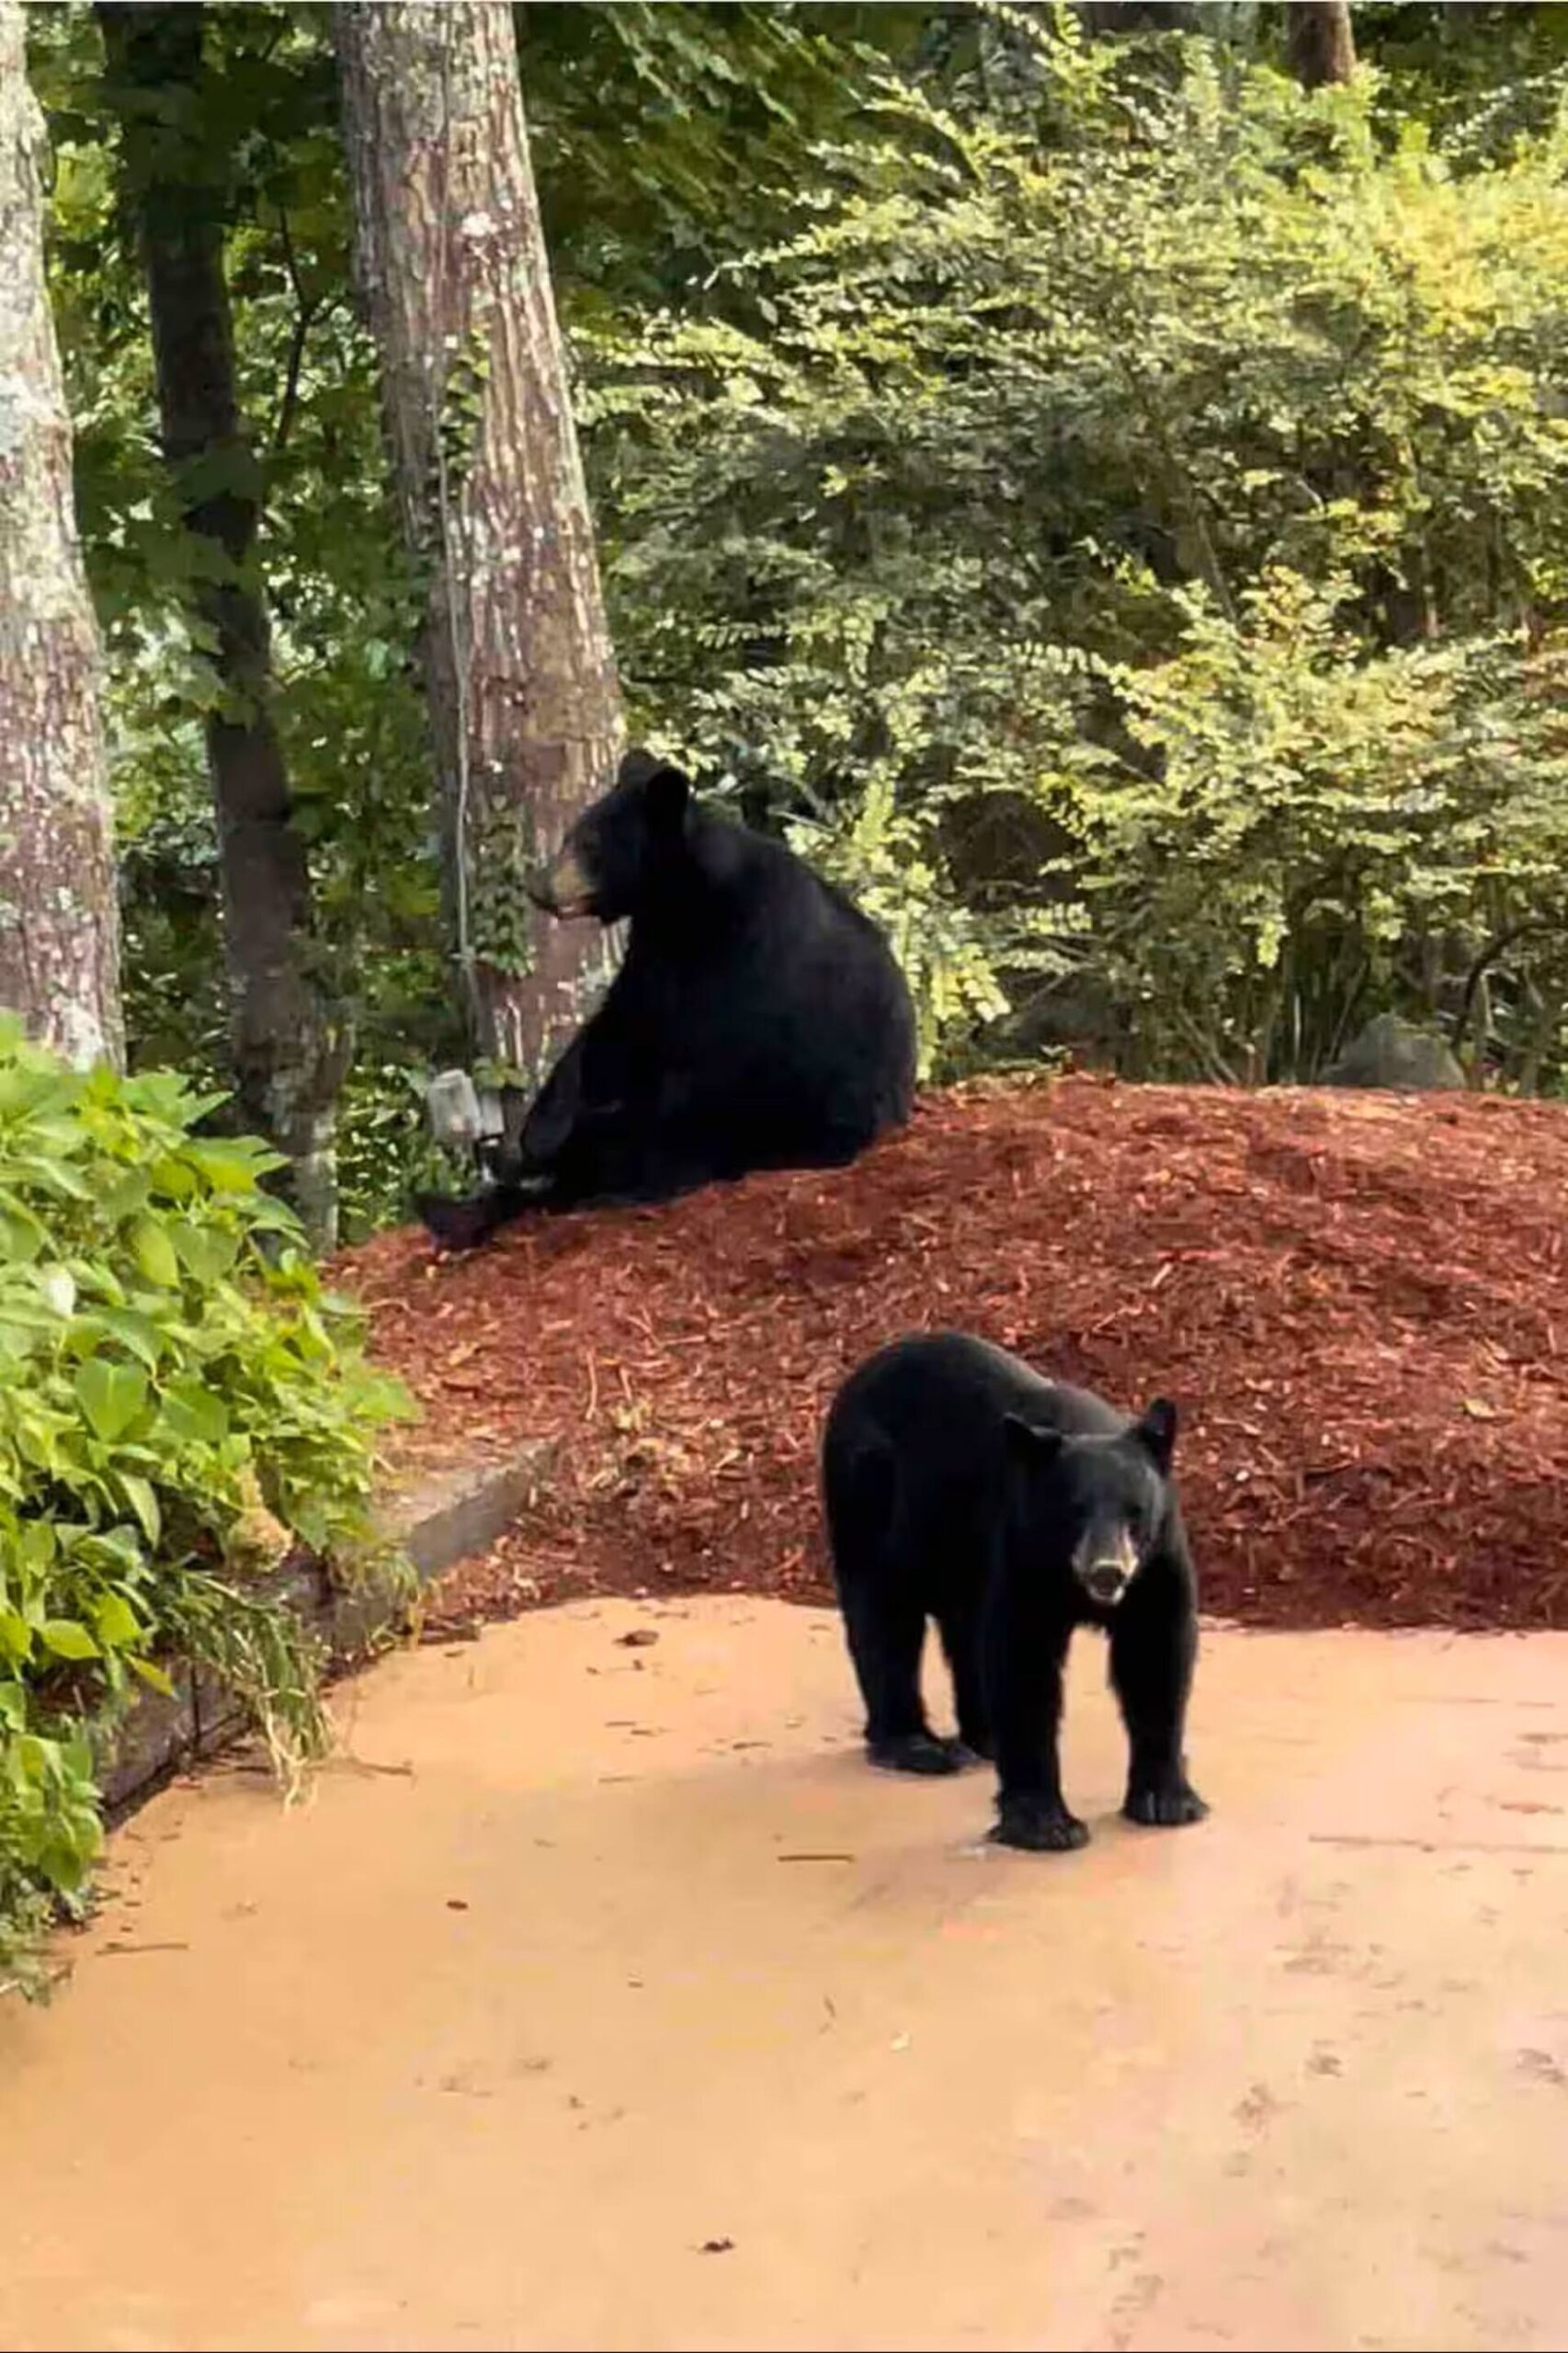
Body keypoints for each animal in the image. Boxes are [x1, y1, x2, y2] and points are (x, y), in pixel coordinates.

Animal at [415, 750, 918, 1252]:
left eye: (590, 843)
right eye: (571, 834)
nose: (538, 886)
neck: (684, 903)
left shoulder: (748, 951)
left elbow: (699, 1052)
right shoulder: (653, 949)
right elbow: (618, 1025)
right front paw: (540, 1131)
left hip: (793, 1117)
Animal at [820, 1330, 1208, 1852]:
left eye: (1136, 1511)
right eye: (1074, 1510)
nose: (1107, 1572)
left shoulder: (1157, 1563)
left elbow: (1154, 1655)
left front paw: (1167, 1800)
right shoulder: (1021, 1543)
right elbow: (1022, 1658)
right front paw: (1047, 1823)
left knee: (963, 1631)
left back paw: (982, 1738)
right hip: (871, 1494)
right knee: (885, 1618)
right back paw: (919, 1746)